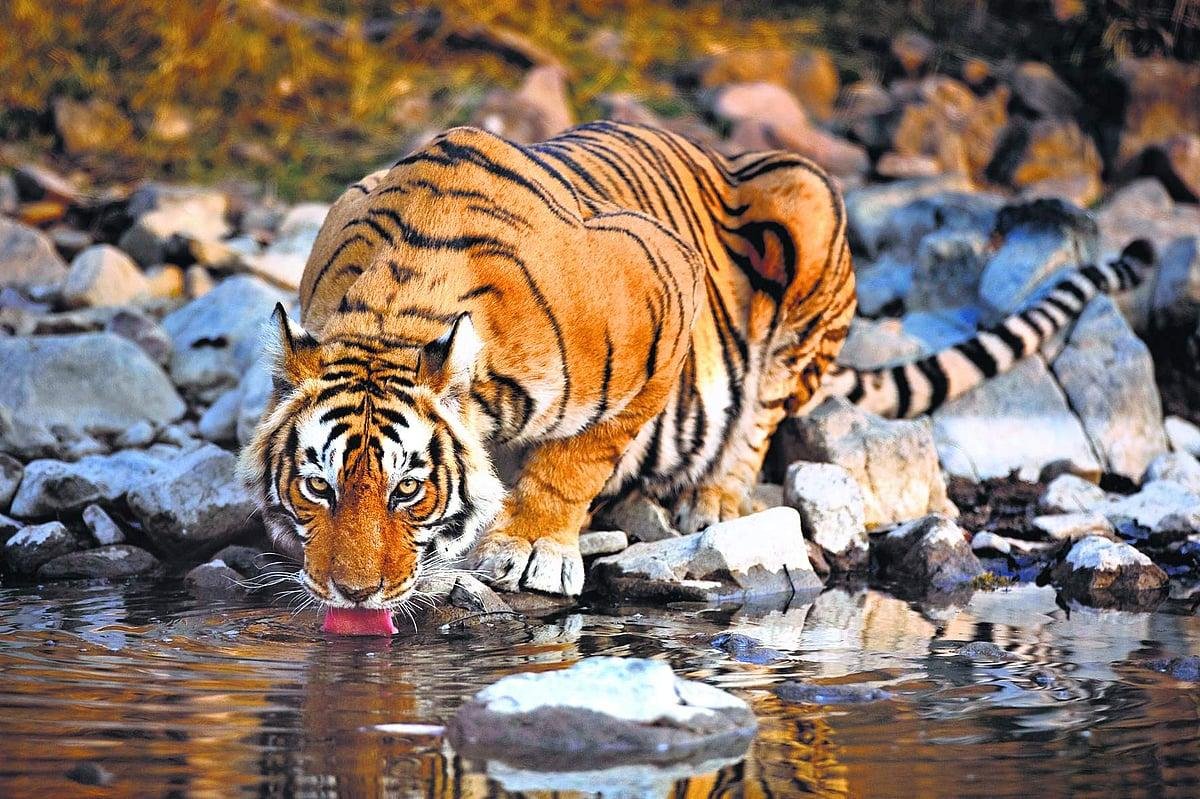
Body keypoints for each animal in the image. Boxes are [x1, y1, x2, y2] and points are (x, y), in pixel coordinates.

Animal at [240, 120, 1154, 608]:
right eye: (316, 484)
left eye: (409, 489)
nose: (352, 596)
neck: (394, 309)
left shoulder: (663, 301)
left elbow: (579, 457)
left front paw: (531, 545)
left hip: (807, 209)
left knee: (763, 412)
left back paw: (711, 497)